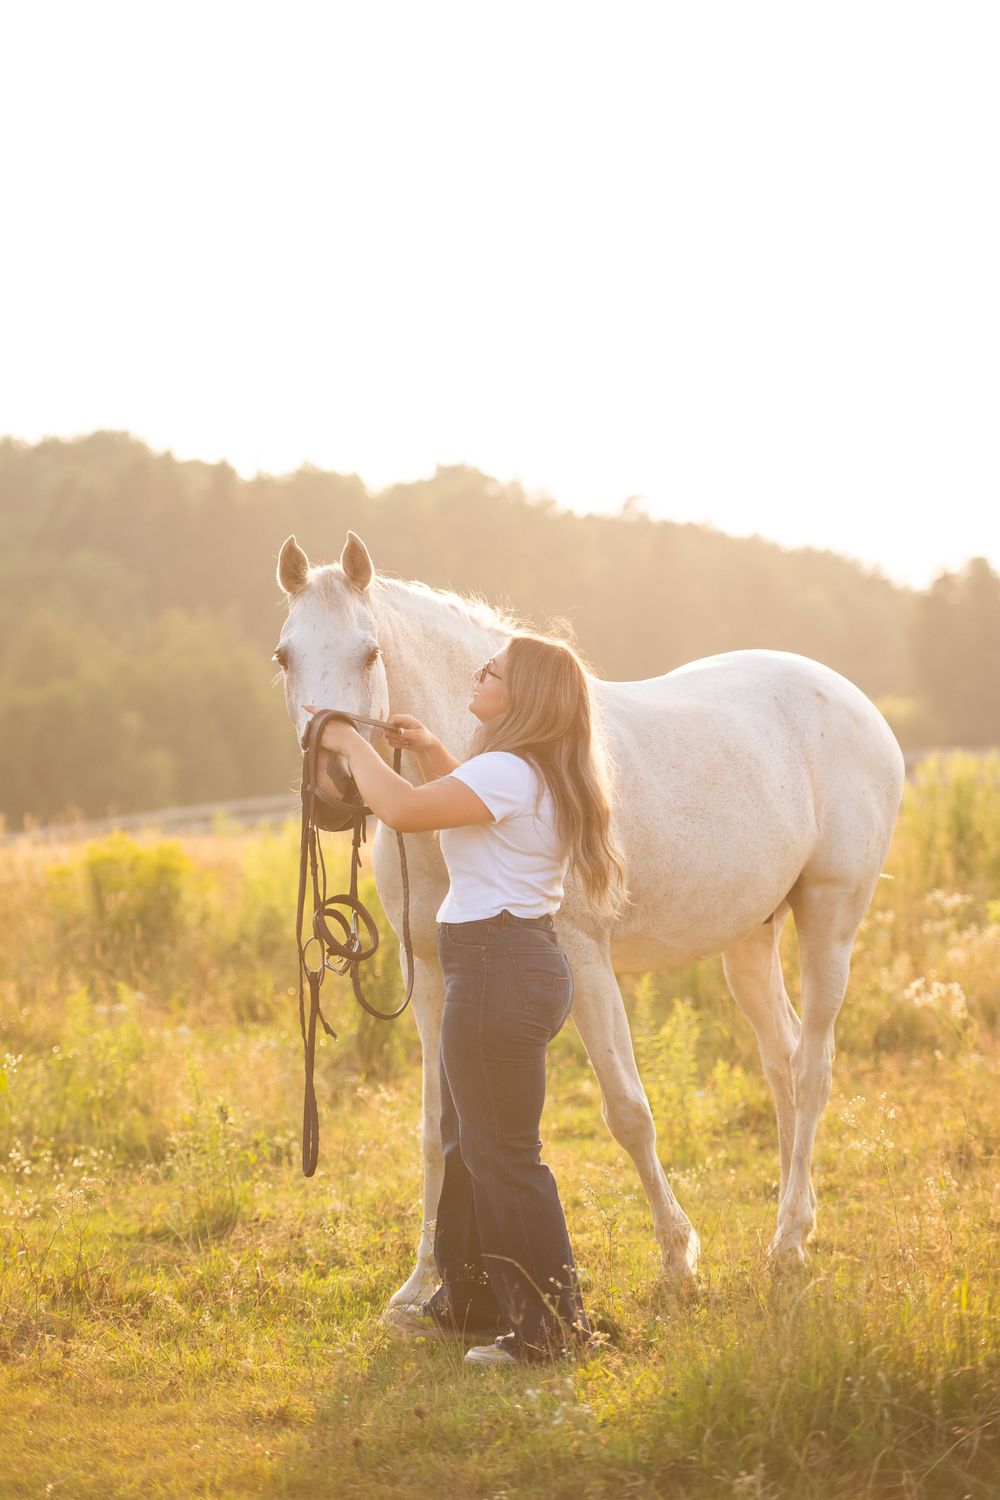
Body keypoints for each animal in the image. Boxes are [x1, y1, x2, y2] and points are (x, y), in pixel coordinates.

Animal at [274, 529, 905, 1304]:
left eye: (369, 653)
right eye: (284, 656)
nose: (332, 791)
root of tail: (855, 702)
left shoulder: (583, 957)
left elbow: (629, 1112)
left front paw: (678, 1258)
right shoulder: (427, 970)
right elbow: (433, 1132)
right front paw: (420, 1284)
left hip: (831, 920)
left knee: (813, 1068)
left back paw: (787, 1242)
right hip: (750, 940)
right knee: (783, 1061)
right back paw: (795, 1223)